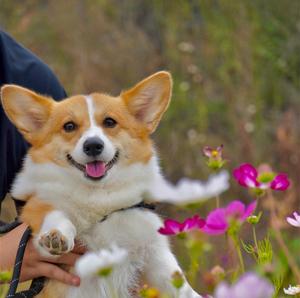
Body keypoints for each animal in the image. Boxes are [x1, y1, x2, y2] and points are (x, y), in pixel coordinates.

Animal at [1, 72, 202, 298]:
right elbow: (55, 214)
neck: (98, 197)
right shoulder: (39, 205)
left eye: (110, 122)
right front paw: (56, 236)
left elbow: (179, 284)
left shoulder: (154, 250)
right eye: (69, 126)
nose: (93, 145)